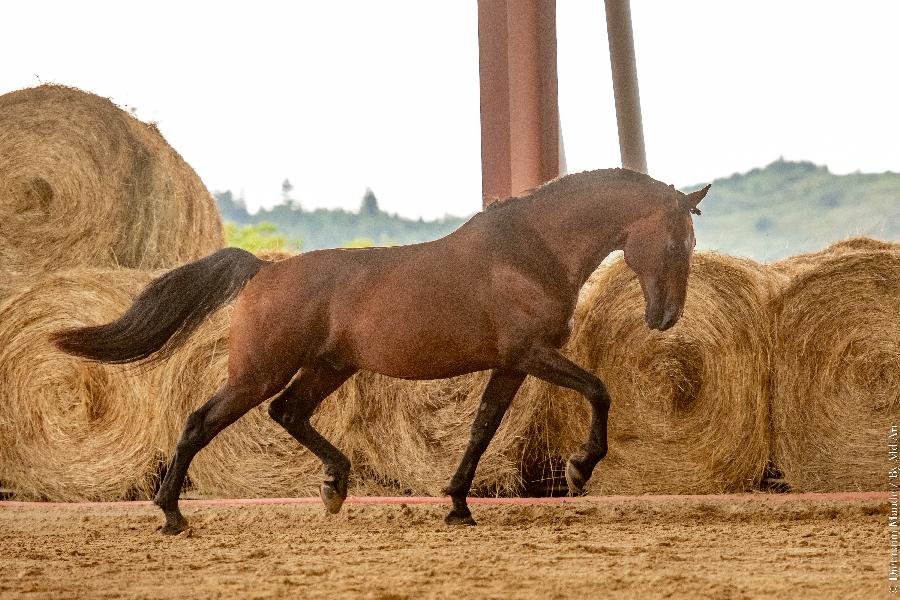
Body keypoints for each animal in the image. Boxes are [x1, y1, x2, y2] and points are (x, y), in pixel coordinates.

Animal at [51, 166, 712, 532]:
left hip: (326, 368)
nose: (663, 318)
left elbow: (482, 429)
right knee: (200, 421)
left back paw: (336, 485)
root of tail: (264, 270)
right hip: (259, 371)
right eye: (674, 241)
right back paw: (171, 514)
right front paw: (579, 468)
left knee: (289, 413)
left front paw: (457, 505)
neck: (532, 252)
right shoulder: (531, 355)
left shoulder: (510, 366)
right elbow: (599, 391)